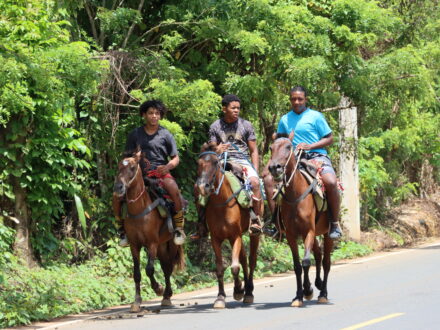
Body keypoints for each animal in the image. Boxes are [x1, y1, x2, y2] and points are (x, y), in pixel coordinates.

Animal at [112, 151, 185, 310]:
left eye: (132, 167)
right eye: (119, 167)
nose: (119, 187)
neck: (139, 209)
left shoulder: (152, 243)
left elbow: (149, 269)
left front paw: (158, 288)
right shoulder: (134, 245)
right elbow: (137, 273)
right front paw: (137, 301)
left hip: (169, 244)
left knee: (168, 267)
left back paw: (166, 295)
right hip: (161, 246)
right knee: (165, 266)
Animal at [195, 143, 260, 308]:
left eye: (215, 163)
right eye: (198, 163)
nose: (202, 187)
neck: (221, 204)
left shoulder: (235, 236)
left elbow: (235, 267)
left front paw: (238, 290)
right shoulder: (216, 239)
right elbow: (220, 268)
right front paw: (220, 297)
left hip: (251, 234)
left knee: (251, 260)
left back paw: (248, 292)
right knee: (244, 259)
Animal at [266, 134, 332, 306]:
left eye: (289, 146)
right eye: (271, 148)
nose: (274, 167)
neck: (295, 194)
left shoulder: (308, 231)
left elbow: (306, 262)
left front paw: (307, 290)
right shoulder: (291, 234)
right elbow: (297, 266)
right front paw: (299, 296)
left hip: (327, 233)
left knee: (326, 262)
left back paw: (323, 293)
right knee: (318, 255)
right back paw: (318, 283)